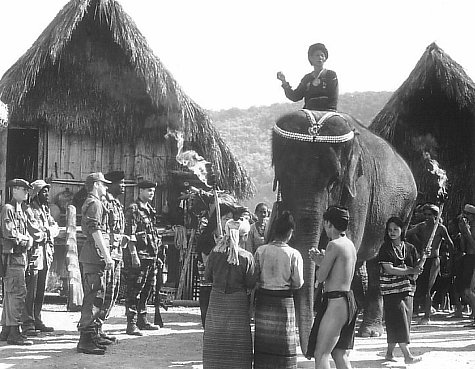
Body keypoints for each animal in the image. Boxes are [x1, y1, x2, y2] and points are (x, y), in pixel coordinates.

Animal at [272, 110, 416, 354]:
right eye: (284, 177)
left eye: (334, 181)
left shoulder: (360, 190)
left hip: (404, 211)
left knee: (377, 262)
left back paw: (370, 332)